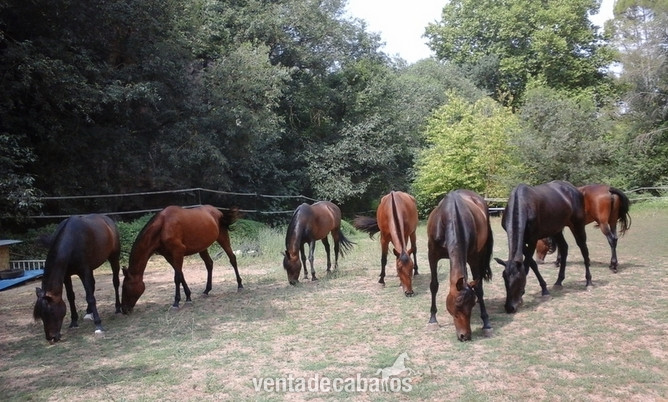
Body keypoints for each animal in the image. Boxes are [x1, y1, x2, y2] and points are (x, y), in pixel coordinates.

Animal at [33, 214, 121, 343]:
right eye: (41, 315)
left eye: (51, 312)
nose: (51, 337)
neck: (71, 241)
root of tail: (108, 220)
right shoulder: (67, 275)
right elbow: (71, 297)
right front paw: (74, 321)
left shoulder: (84, 271)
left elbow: (90, 297)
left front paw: (98, 325)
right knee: (92, 286)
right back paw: (89, 313)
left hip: (113, 258)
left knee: (115, 282)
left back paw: (118, 308)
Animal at [426, 190, 493, 341]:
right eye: (457, 306)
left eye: (471, 305)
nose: (464, 336)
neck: (450, 217)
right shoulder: (432, 256)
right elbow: (434, 285)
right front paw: (433, 319)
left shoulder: (474, 258)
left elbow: (478, 288)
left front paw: (486, 323)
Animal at [494, 180, 591, 314]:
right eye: (504, 278)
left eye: (518, 279)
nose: (509, 307)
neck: (523, 203)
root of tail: (574, 189)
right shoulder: (524, 242)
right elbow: (532, 264)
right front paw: (544, 289)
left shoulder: (533, 240)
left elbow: (527, 265)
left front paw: (527, 296)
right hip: (557, 229)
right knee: (564, 248)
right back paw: (559, 281)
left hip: (577, 225)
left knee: (584, 249)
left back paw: (589, 282)